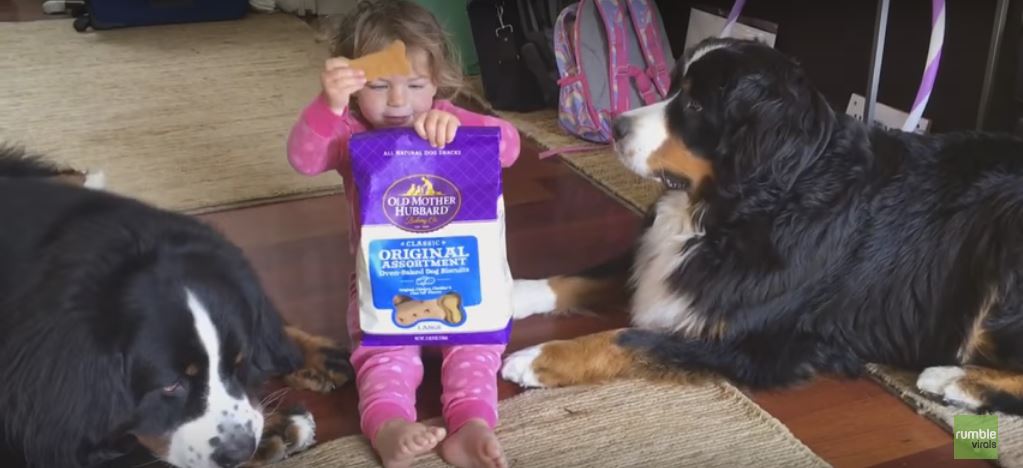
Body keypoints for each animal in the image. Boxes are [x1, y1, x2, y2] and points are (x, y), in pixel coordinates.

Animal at [503, 37, 1023, 415]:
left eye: (695, 107)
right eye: (672, 88)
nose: (615, 126)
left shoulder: (754, 343)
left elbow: (629, 338)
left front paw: (540, 357)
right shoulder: (662, 256)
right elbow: (582, 276)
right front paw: (509, 293)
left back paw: (953, 379)